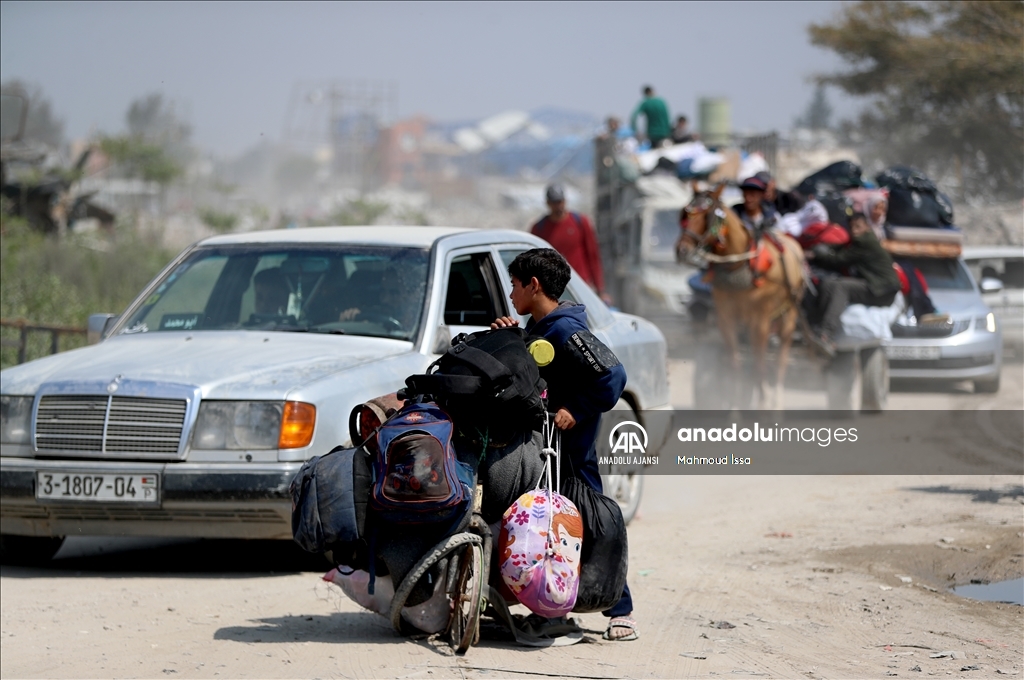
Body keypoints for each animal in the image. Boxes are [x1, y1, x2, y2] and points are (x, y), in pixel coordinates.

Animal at [679, 182, 806, 409]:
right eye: (685, 212)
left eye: (707, 214)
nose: (682, 250)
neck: (738, 265)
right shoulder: (725, 318)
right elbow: (734, 364)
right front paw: (735, 403)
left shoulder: (760, 320)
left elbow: (759, 366)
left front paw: (762, 403)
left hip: (789, 314)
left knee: (780, 359)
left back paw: (775, 401)